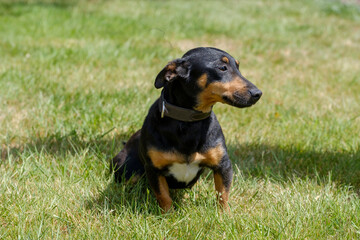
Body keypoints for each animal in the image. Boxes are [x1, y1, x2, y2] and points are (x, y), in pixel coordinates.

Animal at [112, 47, 262, 212]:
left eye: (238, 67)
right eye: (222, 68)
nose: (258, 94)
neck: (189, 122)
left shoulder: (223, 165)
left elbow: (223, 193)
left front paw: (225, 215)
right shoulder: (153, 169)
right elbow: (163, 196)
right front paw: (168, 215)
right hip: (126, 168)